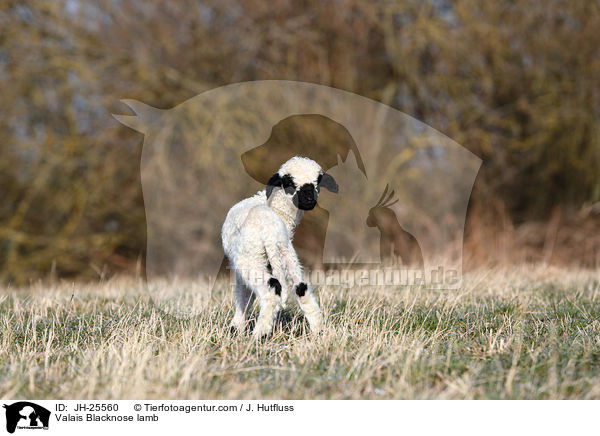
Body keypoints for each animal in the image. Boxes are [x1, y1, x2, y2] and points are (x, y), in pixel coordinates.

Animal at [220, 155, 338, 338]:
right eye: (289, 182)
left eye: (317, 181)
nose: (309, 199)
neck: (276, 208)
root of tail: (269, 233)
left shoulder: (238, 268)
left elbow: (243, 296)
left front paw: (236, 327)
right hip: (287, 255)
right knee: (301, 288)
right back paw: (319, 331)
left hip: (250, 260)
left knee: (272, 290)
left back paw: (259, 335)